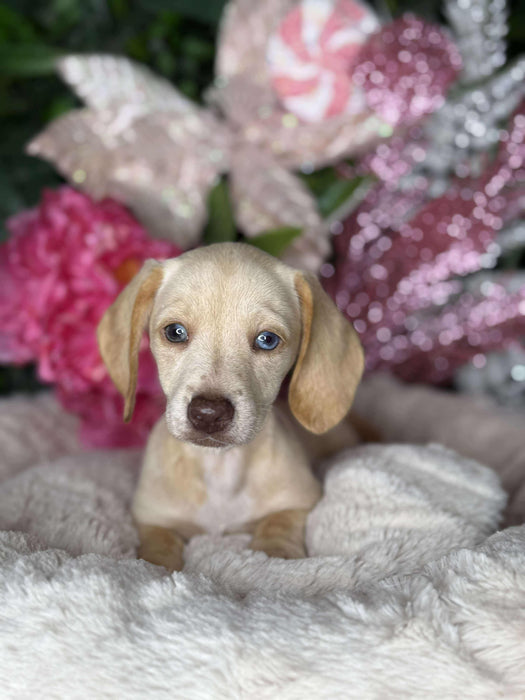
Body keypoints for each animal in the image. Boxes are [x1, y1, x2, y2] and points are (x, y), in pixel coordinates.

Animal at [96, 243, 362, 572]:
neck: (220, 467)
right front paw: (156, 563)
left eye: (267, 339)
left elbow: (279, 523)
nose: (208, 414)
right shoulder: (151, 517)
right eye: (175, 332)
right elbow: (158, 544)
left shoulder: (300, 500)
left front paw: (276, 554)